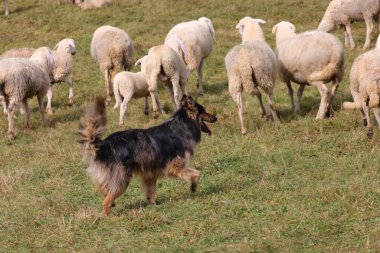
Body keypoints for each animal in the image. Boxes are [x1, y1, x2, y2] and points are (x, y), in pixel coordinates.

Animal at [78, 95, 217, 215]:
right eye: (204, 111)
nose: (216, 118)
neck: (183, 124)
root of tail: (105, 144)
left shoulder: (150, 173)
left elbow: (151, 190)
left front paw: (153, 204)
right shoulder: (175, 167)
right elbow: (197, 173)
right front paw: (193, 187)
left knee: (103, 187)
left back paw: (110, 201)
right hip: (122, 177)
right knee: (107, 198)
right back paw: (108, 213)